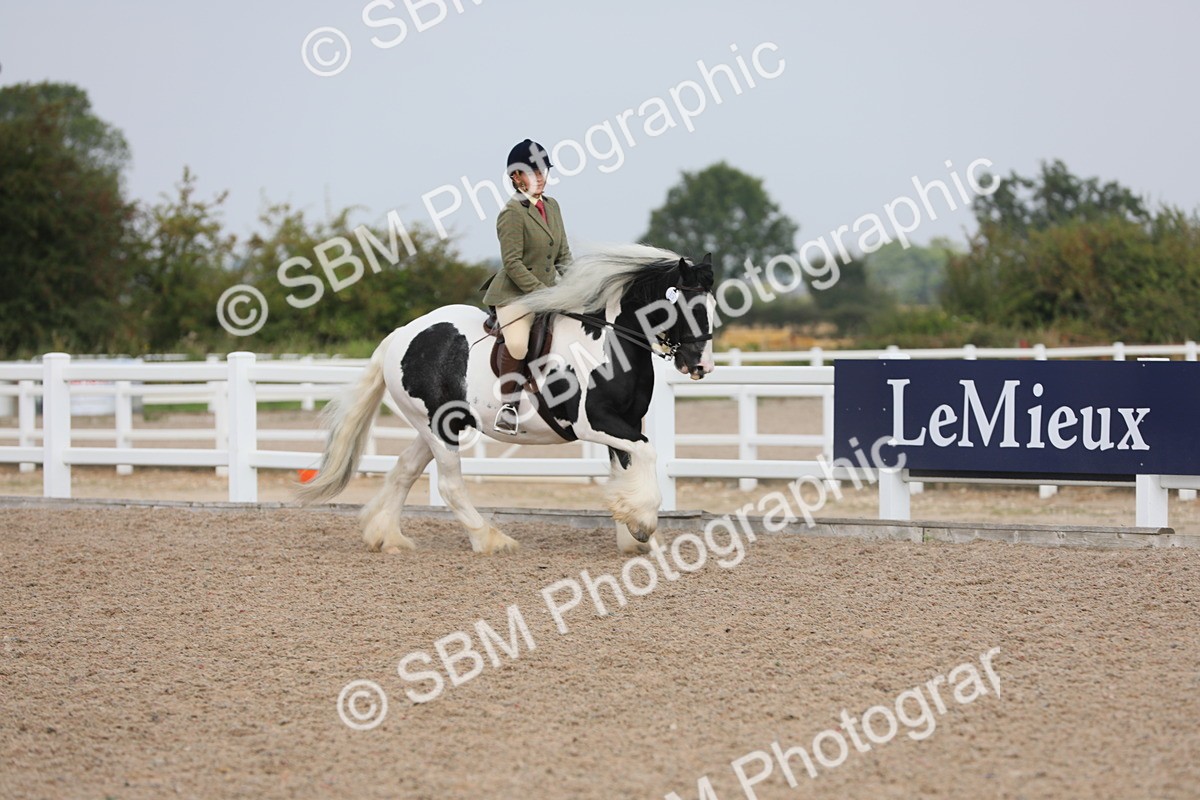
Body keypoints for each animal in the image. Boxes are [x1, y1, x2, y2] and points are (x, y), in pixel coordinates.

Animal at [296, 244, 716, 554]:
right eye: (687, 307)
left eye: (712, 307)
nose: (701, 365)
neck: (610, 343)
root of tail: (402, 334)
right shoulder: (595, 422)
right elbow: (646, 453)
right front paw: (642, 526)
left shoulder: (624, 422)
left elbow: (627, 469)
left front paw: (636, 537)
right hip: (439, 428)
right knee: (449, 486)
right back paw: (490, 540)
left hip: (434, 425)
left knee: (405, 470)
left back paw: (386, 536)